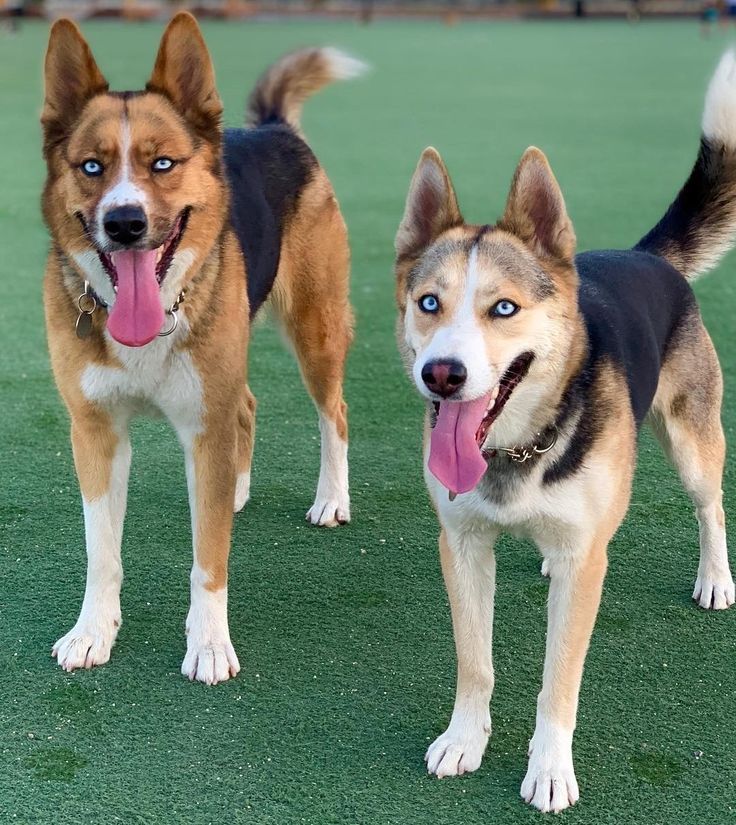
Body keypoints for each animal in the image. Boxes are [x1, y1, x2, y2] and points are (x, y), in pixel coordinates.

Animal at [41, 14, 362, 684]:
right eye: (91, 167)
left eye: (163, 163)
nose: (125, 223)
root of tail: (274, 128)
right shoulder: (95, 431)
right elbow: (100, 551)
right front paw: (92, 632)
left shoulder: (202, 422)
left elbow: (209, 557)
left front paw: (210, 644)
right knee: (247, 406)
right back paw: (235, 490)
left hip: (315, 329)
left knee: (334, 413)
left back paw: (330, 499)